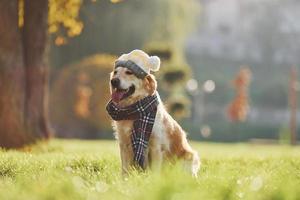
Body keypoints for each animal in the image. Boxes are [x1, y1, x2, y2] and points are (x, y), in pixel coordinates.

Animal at [106, 49, 200, 177]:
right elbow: (125, 170)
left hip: (187, 158)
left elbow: (155, 171)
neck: (134, 110)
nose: (114, 81)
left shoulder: (156, 146)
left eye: (129, 72)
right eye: (115, 72)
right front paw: (124, 180)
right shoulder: (123, 143)